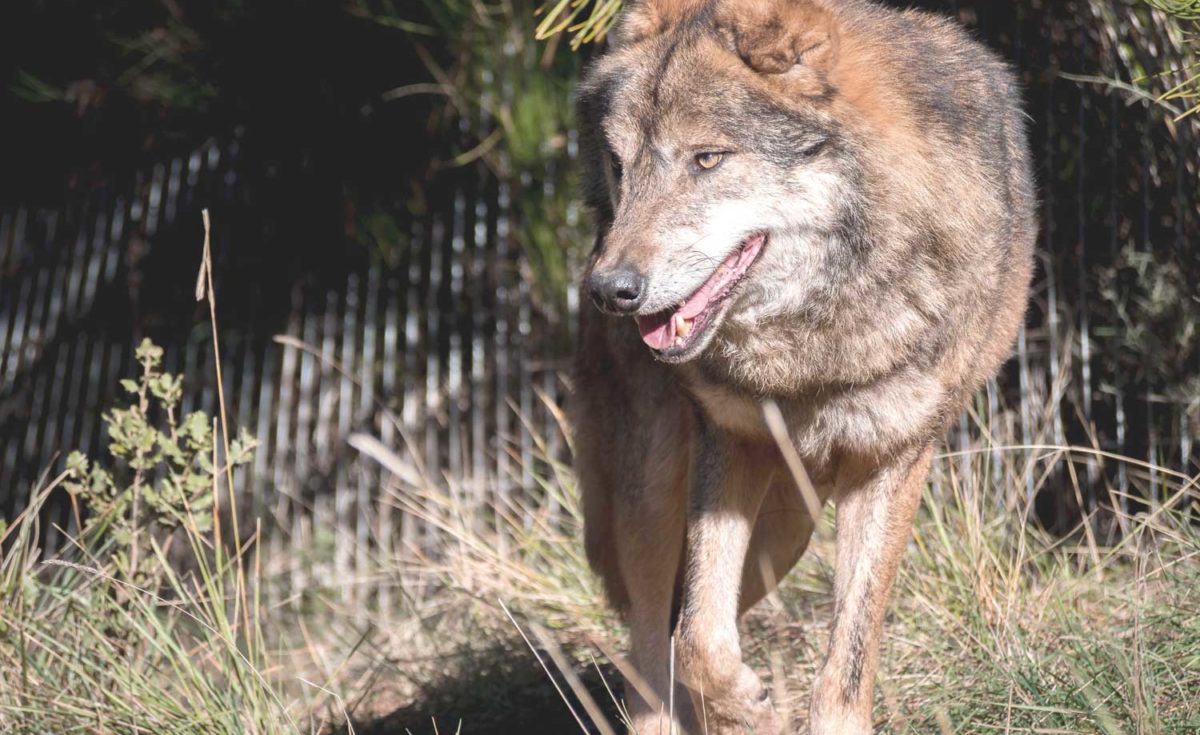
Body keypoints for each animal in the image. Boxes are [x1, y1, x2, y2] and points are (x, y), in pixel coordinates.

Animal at [568, 0, 1032, 730]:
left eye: (706, 159)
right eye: (620, 165)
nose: (609, 290)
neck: (812, 351)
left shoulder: (893, 459)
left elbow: (849, 651)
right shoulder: (730, 440)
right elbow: (699, 641)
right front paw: (747, 708)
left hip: (784, 535)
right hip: (653, 493)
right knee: (650, 647)